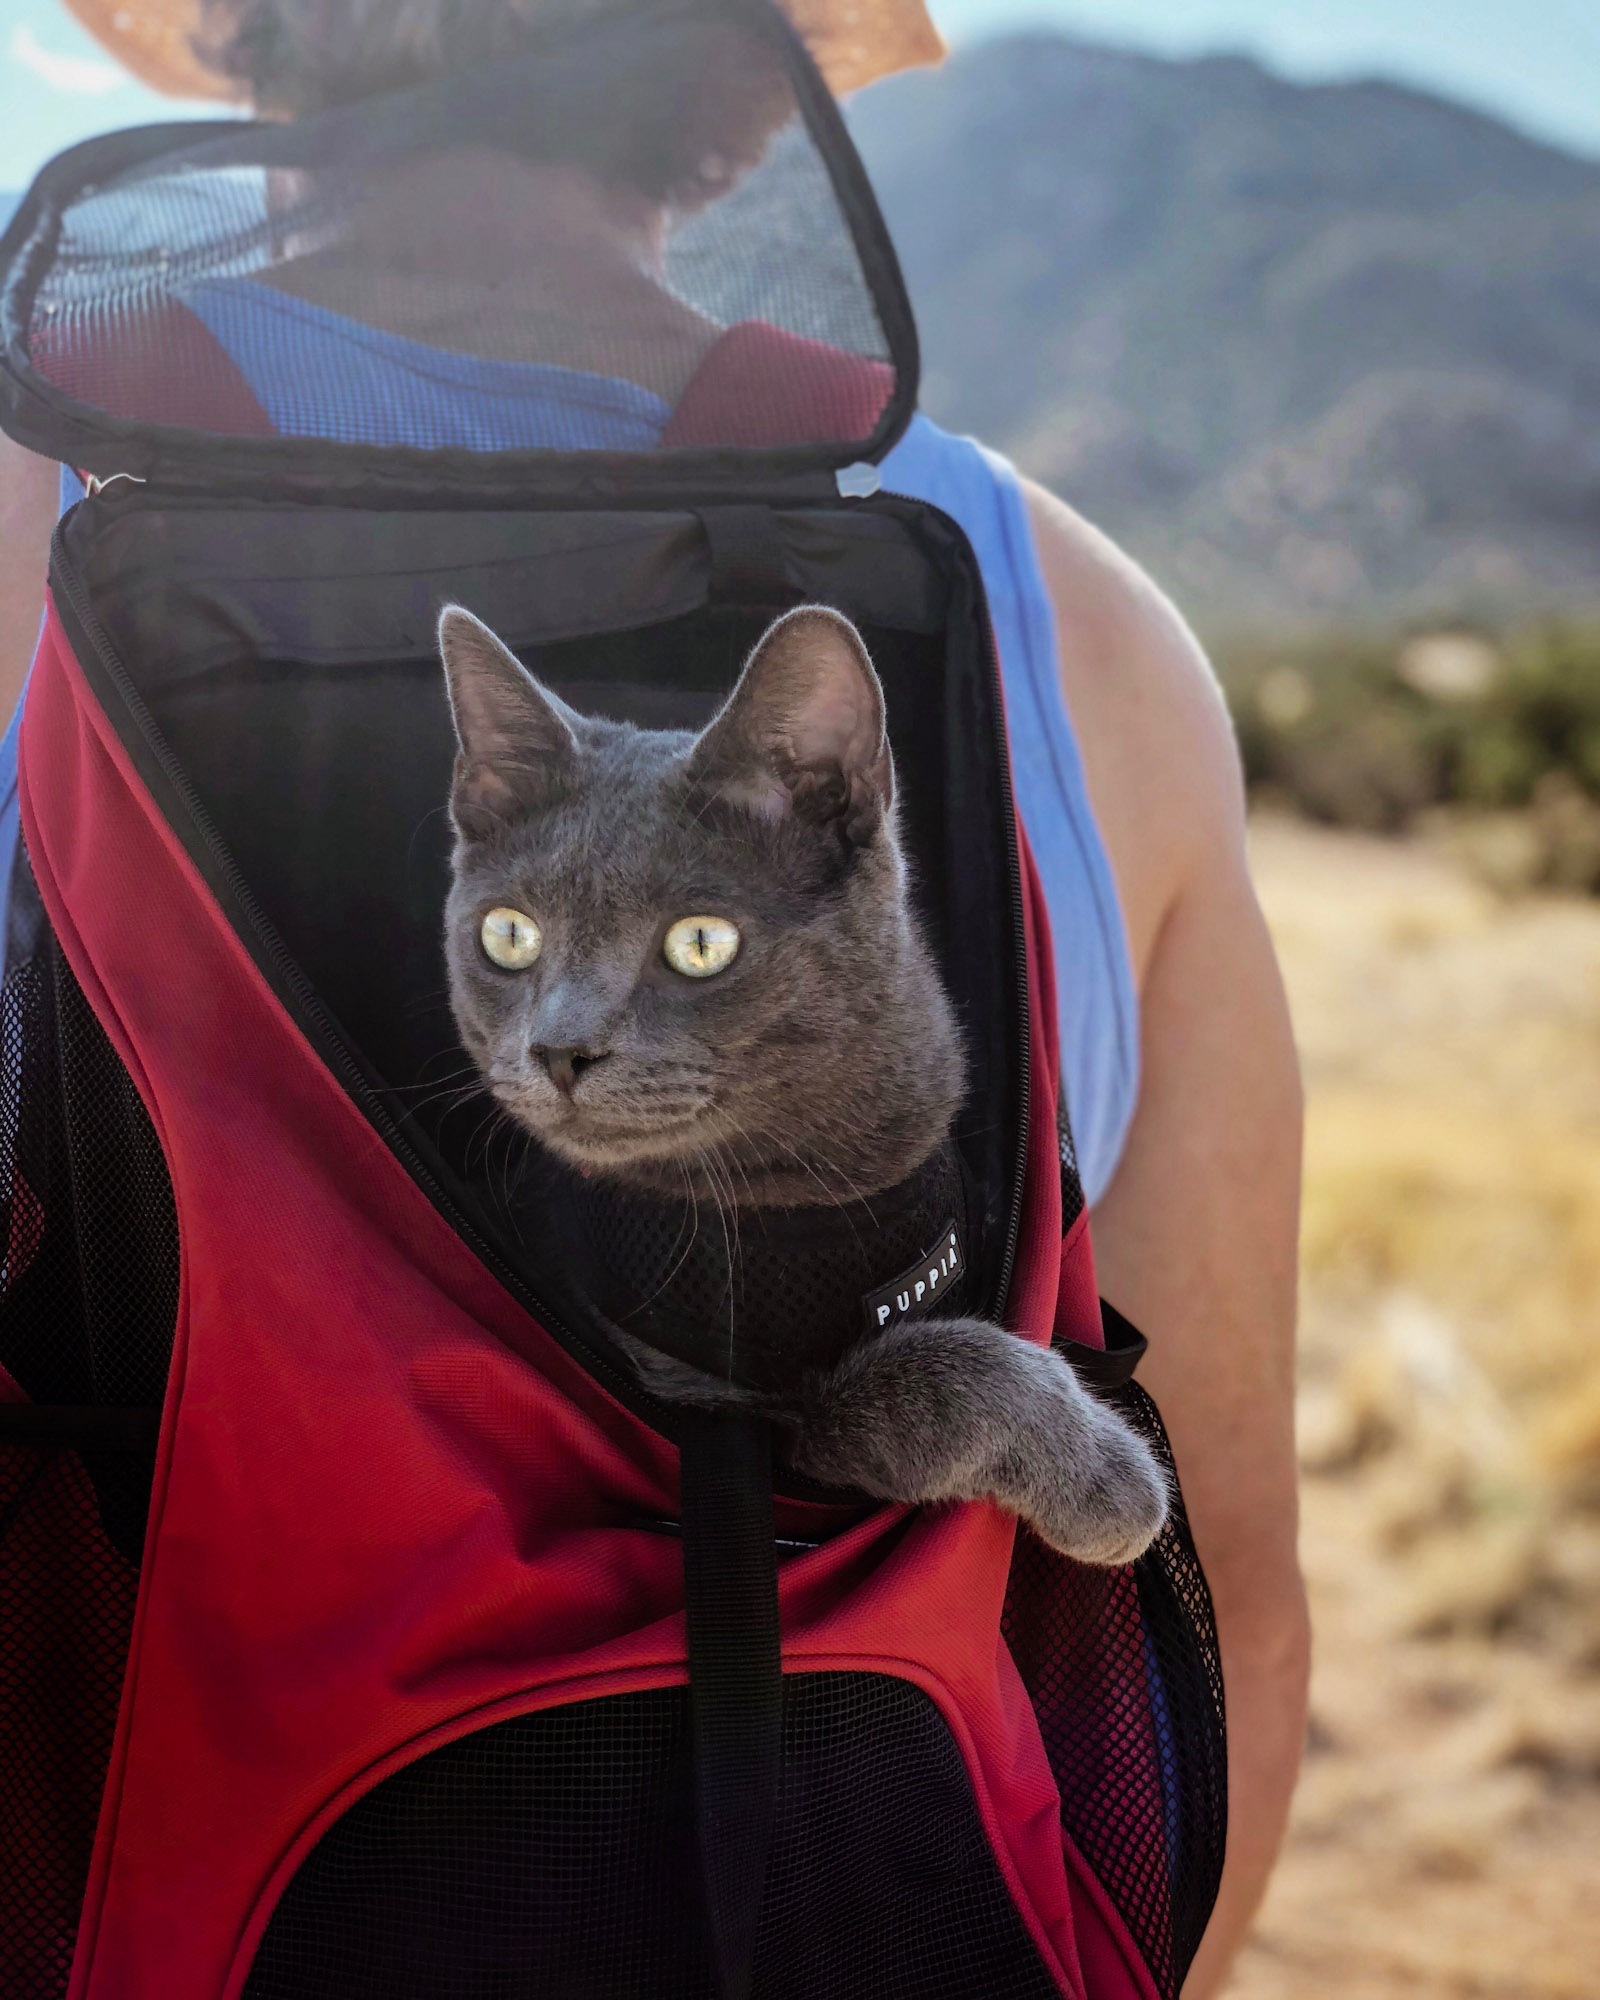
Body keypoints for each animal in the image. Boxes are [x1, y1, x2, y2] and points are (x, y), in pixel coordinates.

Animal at [434, 592, 1160, 1560]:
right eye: (509, 935)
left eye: (701, 944)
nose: (560, 1047)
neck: (796, 1201)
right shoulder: (730, 1419)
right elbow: (915, 1380)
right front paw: (1105, 1473)